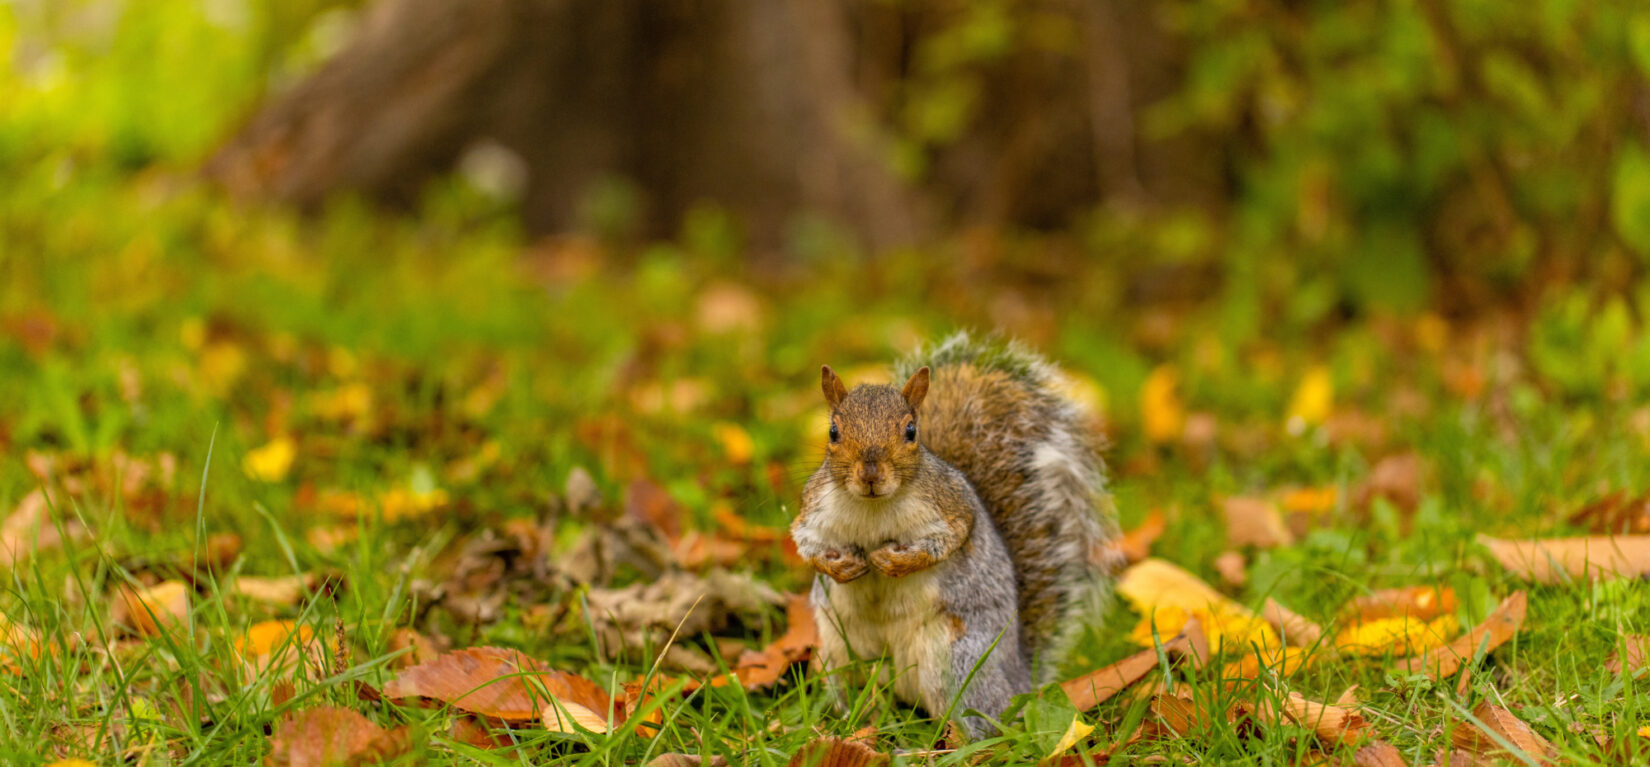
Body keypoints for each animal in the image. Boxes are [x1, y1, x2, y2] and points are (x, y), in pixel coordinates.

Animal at [788, 333, 1122, 735]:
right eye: (833, 432)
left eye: (910, 431)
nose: (870, 473)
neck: (873, 508)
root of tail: (1017, 681)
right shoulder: (812, 512)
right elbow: (807, 545)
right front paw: (840, 568)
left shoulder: (952, 506)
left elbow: (949, 541)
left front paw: (895, 562)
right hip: (841, 657)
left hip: (958, 662)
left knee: (977, 722)